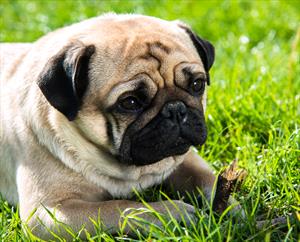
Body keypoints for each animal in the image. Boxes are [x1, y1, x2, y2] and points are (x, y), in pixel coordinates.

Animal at [0, 14, 218, 239]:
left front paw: (228, 203)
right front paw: (173, 213)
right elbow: (118, 207)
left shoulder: (185, 159)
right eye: (130, 102)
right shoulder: (49, 213)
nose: (175, 109)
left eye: (197, 84)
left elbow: (210, 179)